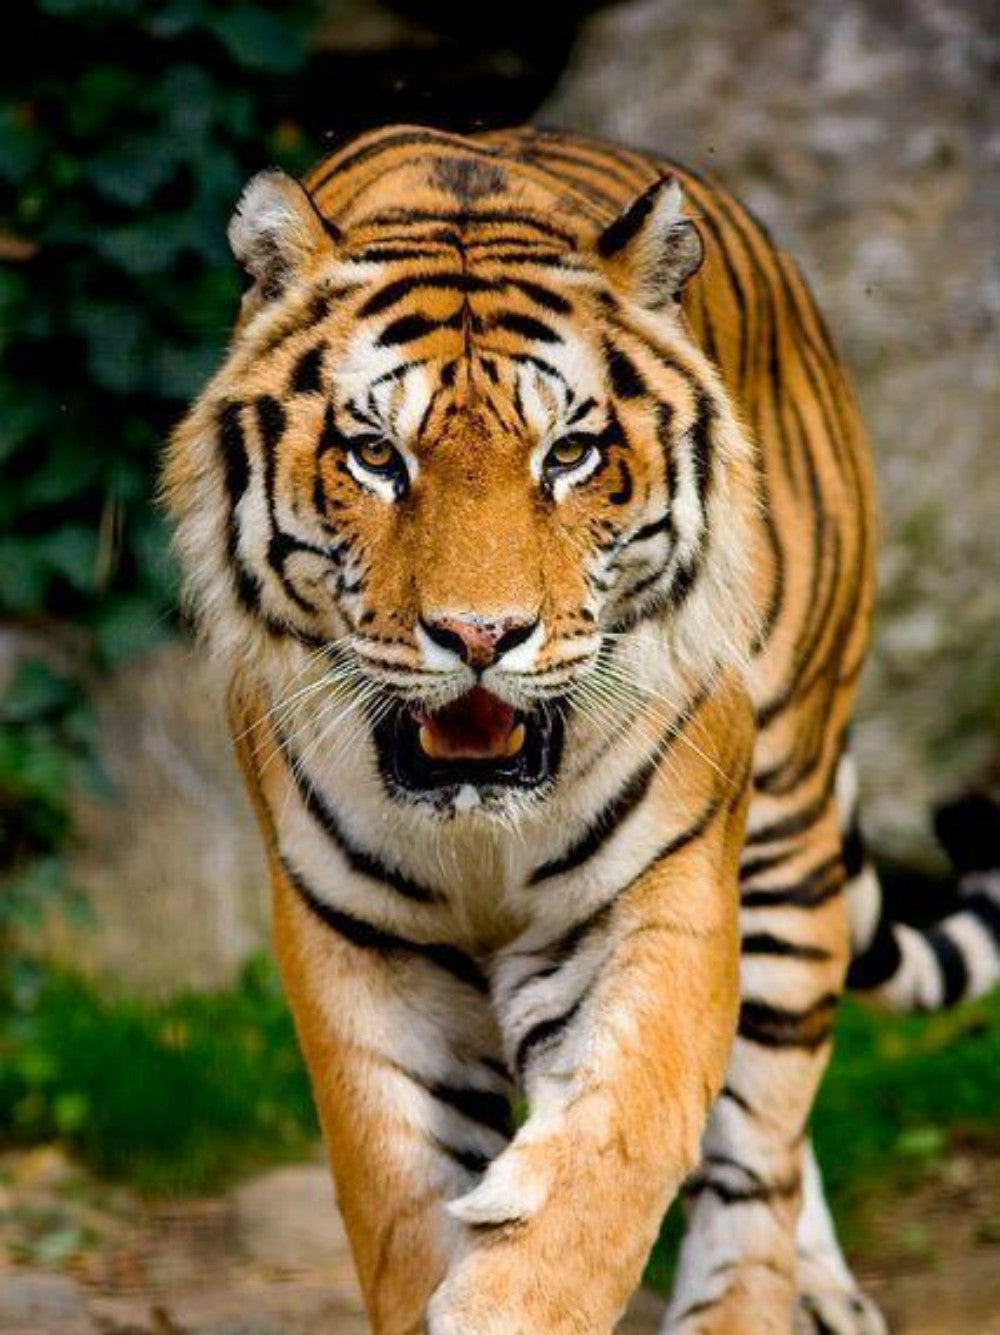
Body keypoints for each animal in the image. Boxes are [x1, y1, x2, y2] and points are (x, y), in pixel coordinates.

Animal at [162, 124, 1000, 1334]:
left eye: (568, 455)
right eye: (376, 456)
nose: (481, 633)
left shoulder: (658, 899)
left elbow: (614, 1157)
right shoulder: (361, 948)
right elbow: (402, 1201)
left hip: (786, 838)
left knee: (761, 1147)